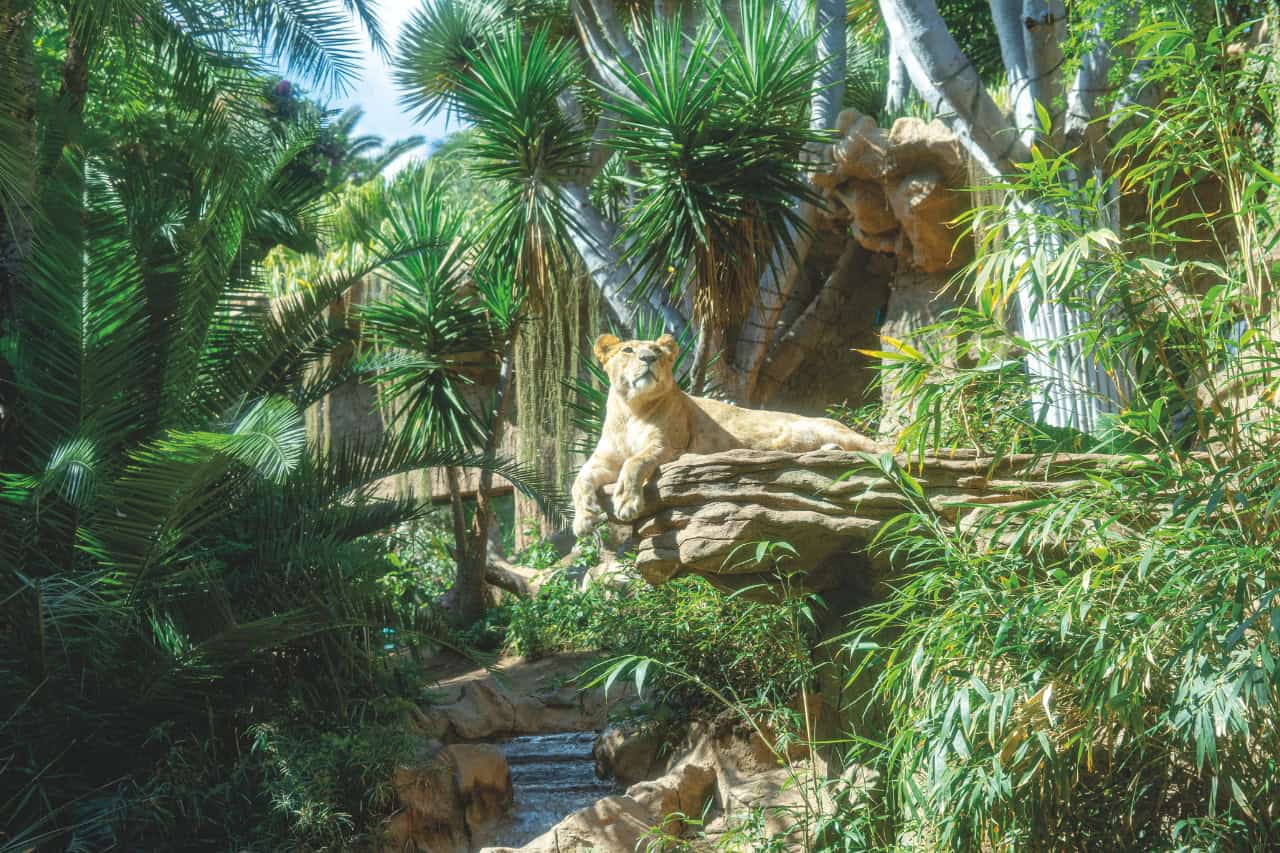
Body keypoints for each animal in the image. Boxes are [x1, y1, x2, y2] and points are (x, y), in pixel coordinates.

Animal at [571, 333, 881, 536]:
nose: (648, 358)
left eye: (657, 351)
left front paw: (626, 502)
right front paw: (583, 519)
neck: (631, 409)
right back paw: (831, 451)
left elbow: (634, 462)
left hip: (831, 428)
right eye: (627, 350)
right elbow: (578, 480)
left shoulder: (670, 446)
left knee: (880, 447)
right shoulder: (602, 461)